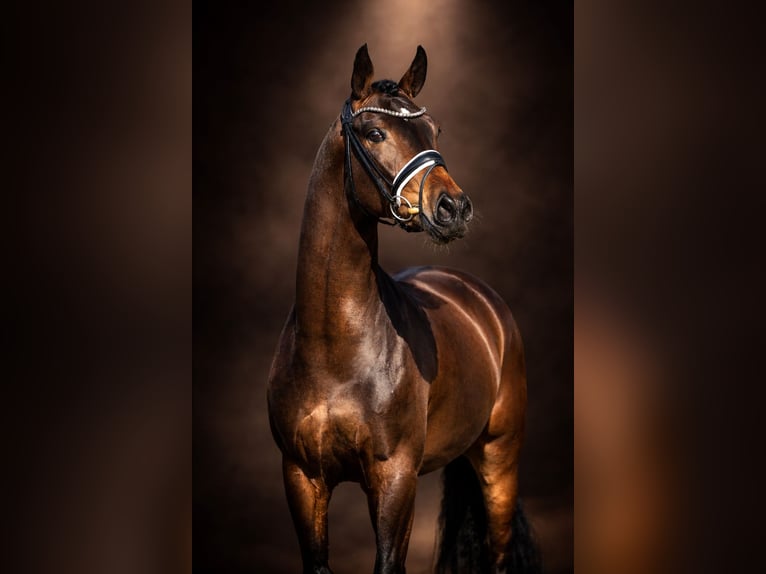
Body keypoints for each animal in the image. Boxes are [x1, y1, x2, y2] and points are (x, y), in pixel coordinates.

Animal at [267, 44, 540, 574]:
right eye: (375, 133)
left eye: (434, 130)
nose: (454, 208)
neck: (333, 344)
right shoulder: (302, 476)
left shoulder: (395, 478)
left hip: (500, 459)